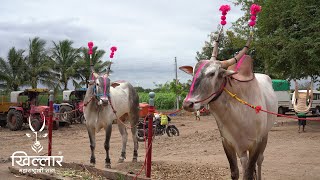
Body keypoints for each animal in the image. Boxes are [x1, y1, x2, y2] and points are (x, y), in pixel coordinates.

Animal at [180, 34, 278, 179]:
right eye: (193, 74)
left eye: (212, 73)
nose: (188, 103)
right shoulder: (227, 143)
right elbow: (235, 172)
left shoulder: (256, 143)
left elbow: (249, 173)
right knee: (245, 162)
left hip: (265, 137)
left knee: (260, 161)